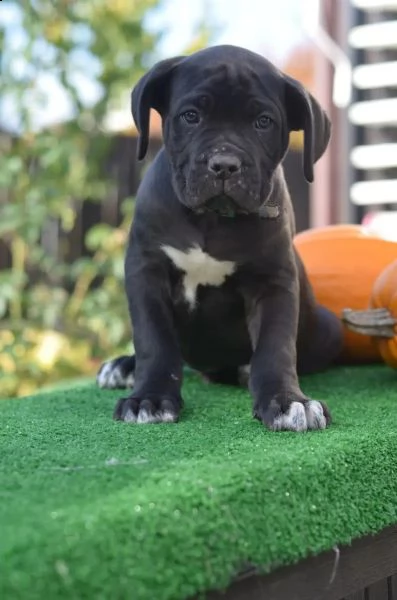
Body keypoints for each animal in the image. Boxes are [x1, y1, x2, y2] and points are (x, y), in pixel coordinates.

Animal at [97, 47, 342, 432]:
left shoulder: (274, 282)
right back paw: (123, 366)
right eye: (191, 116)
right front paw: (149, 397)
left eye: (263, 122)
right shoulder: (145, 271)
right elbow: (154, 340)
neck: (210, 219)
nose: (224, 164)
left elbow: (276, 346)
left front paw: (288, 401)